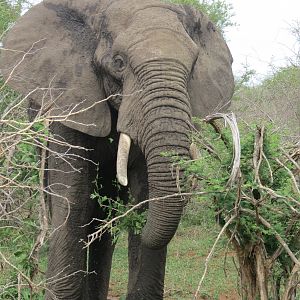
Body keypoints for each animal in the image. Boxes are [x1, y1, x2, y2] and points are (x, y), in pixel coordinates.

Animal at [0, 0, 234, 298]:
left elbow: (145, 192)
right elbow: (73, 197)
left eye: (193, 65)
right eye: (119, 63)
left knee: (103, 221)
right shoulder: (69, 97)